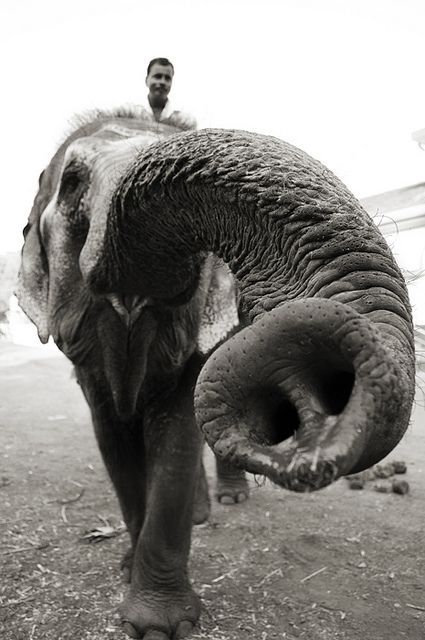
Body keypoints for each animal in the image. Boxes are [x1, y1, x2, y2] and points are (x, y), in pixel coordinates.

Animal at [16, 107, 414, 636]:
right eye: (74, 182)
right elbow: (114, 436)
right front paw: (130, 577)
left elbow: (177, 433)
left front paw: (161, 625)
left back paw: (223, 505)